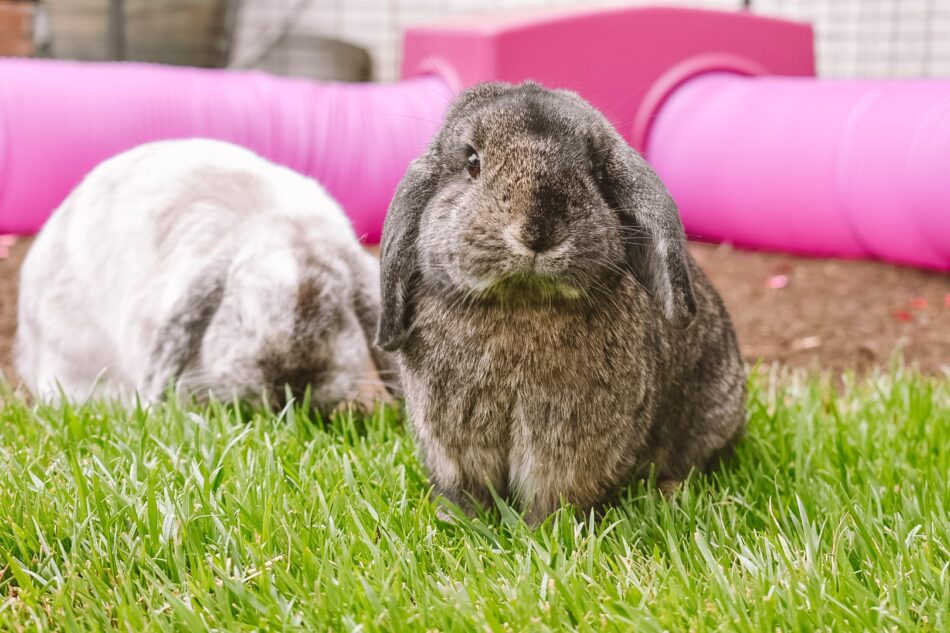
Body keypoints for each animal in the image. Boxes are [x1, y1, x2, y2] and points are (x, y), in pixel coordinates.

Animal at [376, 81, 746, 523]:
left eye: (597, 172)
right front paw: (460, 520)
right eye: (472, 162)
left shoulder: (568, 446)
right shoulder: (452, 442)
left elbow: (554, 493)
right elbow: (466, 487)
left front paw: (548, 529)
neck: (522, 303)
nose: (539, 231)